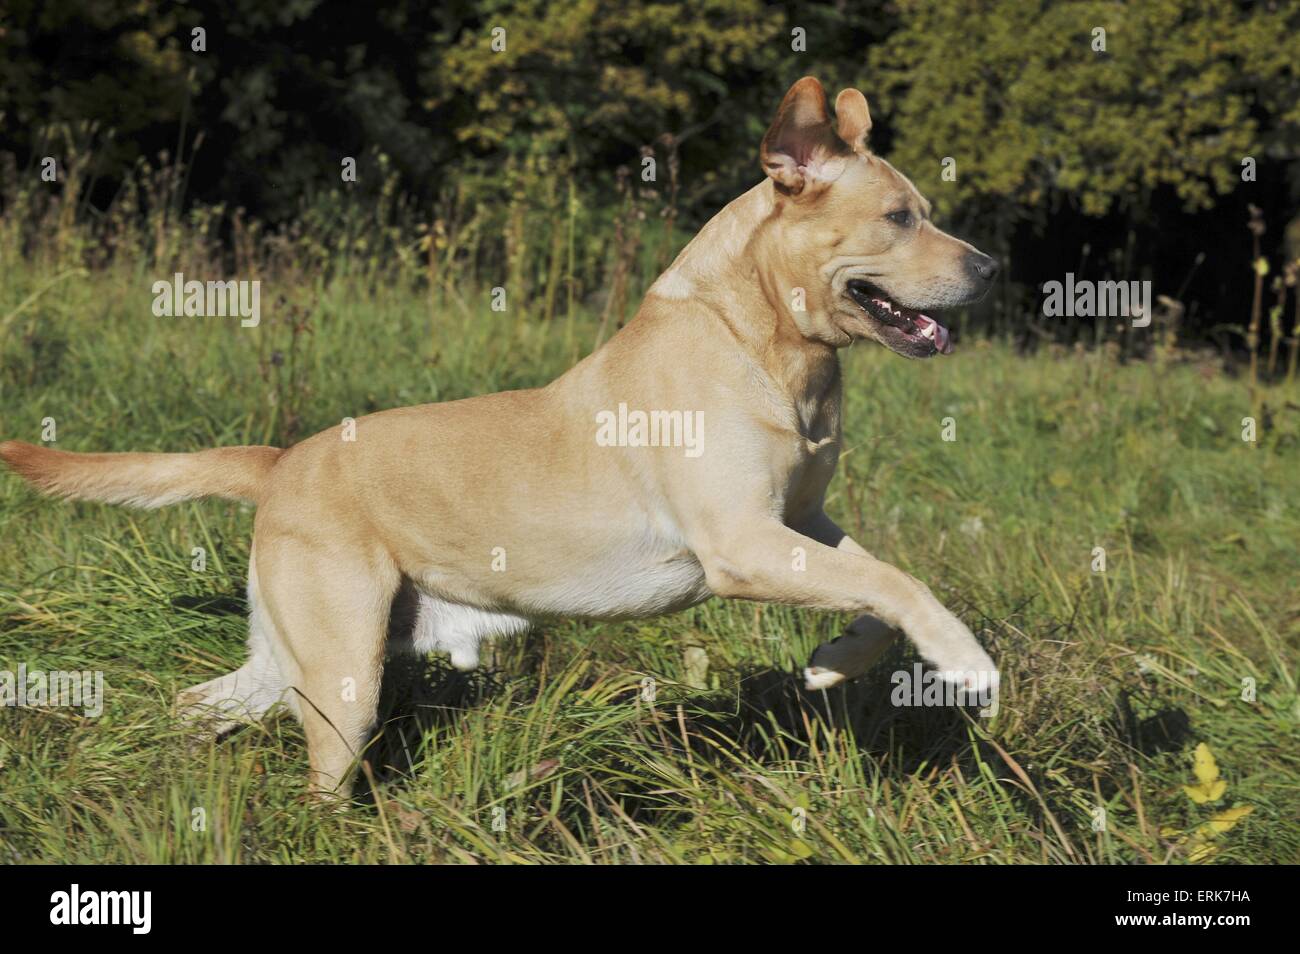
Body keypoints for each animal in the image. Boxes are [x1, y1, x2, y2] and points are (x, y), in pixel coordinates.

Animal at [0, 76, 998, 800]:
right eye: (901, 217)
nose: (993, 267)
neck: (760, 338)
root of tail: (282, 460)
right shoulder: (742, 544)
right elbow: (900, 582)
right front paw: (966, 663)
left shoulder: (802, 523)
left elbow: (882, 588)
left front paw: (832, 665)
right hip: (343, 675)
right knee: (320, 774)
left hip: (293, 655)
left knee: (194, 703)